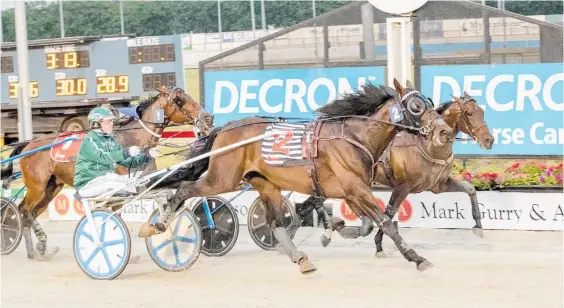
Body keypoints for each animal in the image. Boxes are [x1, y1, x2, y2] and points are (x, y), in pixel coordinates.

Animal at [0, 86, 212, 260]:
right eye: (180, 100)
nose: (208, 118)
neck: (132, 137)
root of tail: (29, 144)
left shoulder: (140, 183)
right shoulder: (120, 188)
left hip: (52, 187)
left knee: (32, 212)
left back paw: (37, 249)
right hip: (37, 186)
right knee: (24, 210)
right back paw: (37, 243)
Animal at [142, 80, 454, 274]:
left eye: (429, 101)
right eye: (416, 106)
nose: (444, 131)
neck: (353, 137)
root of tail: (226, 128)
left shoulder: (353, 191)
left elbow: (366, 224)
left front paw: (337, 228)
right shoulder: (356, 189)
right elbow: (387, 224)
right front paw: (417, 258)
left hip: (265, 184)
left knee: (275, 225)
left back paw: (301, 259)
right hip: (222, 178)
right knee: (184, 189)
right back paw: (158, 224)